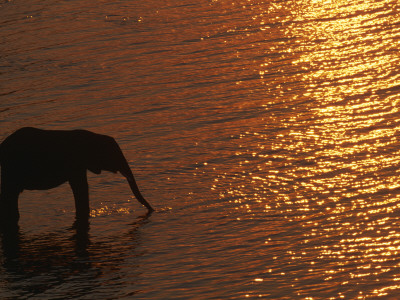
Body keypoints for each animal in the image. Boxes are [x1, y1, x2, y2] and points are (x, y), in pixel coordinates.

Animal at [0, 126, 153, 225]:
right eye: (113, 155)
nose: (152, 210)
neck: (93, 136)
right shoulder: (76, 162)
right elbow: (80, 187)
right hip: (12, 168)